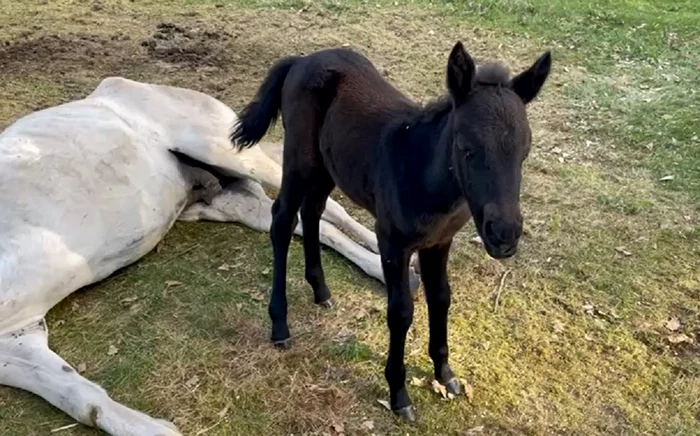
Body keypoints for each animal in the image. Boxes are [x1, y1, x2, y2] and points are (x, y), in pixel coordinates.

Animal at [0, 78, 416, 436]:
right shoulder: (17, 340)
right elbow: (81, 399)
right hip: (227, 200)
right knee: (301, 222)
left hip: (228, 151)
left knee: (330, 209)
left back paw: (394, 266)